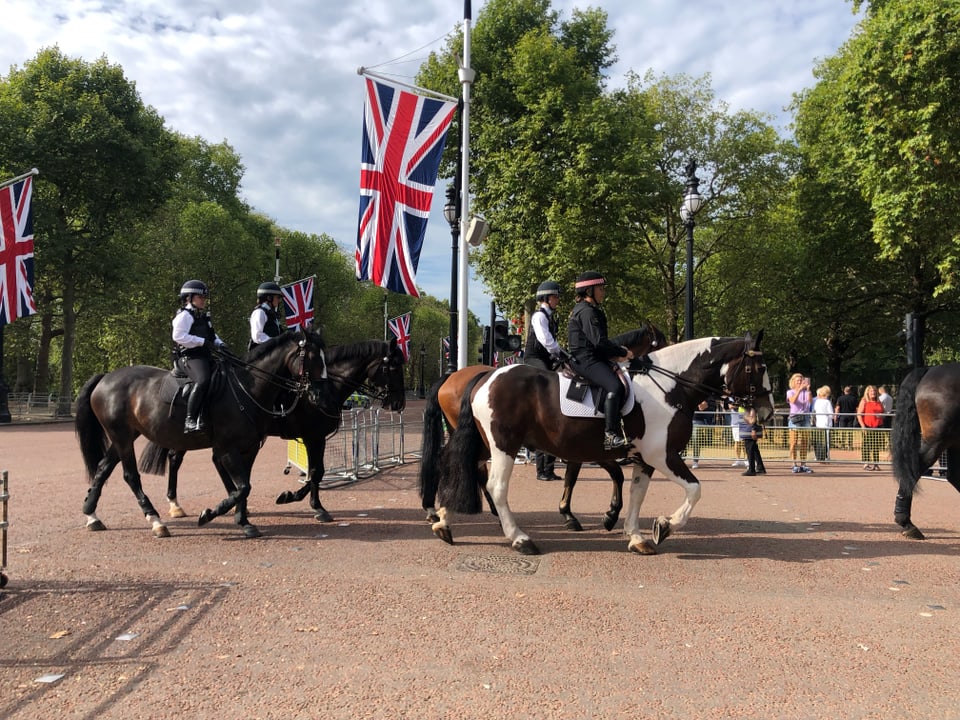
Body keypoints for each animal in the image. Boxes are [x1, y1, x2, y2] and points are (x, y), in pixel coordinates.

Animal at [74, 330, 326, 536]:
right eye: (313, 357)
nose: (319, 396)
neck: (246, 388)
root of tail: (106, 377)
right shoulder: (227, 449)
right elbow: (242, 487)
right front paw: (211, 514)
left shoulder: (249, 448)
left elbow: (244, 485)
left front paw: (243, 521)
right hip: (123, 437)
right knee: (130, 476)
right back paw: (155, 521)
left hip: (124, 437)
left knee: (103, 468)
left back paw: (91, 515)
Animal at [137, 340, 406, 520]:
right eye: (393, 366)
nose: (399, 403)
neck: (327, 385)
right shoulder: (313, 437)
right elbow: (316, 472)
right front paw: (309, 504)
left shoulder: (313, 438)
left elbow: (316, 472)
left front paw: (300, 499)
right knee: (176, 458)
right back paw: (176, 504)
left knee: (212, 460)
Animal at [420, 332, 772, 556]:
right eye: (758, 368)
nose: (767, 412)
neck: (668, 385)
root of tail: (484, 376)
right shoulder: (662, 455)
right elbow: (694, 490)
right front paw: (665, 525)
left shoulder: (643, 458)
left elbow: (635, 493)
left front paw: (634, 535)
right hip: (504, 446)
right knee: (495, 486)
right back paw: (519, 538)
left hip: (483, 443)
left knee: (457, 470)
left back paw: (443, 522)